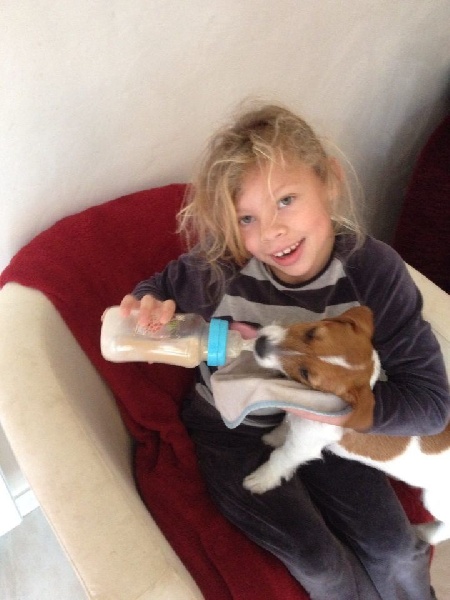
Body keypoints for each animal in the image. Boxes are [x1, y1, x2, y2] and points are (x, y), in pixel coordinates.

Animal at [243, 306, 450, 544]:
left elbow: (280, 459)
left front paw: (261, 479)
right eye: (311, 333)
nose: (260, 344)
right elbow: (286, 427)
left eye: (305, 373)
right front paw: (274, 437)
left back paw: (425, 533)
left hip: (436, 500)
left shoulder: (302, 447)